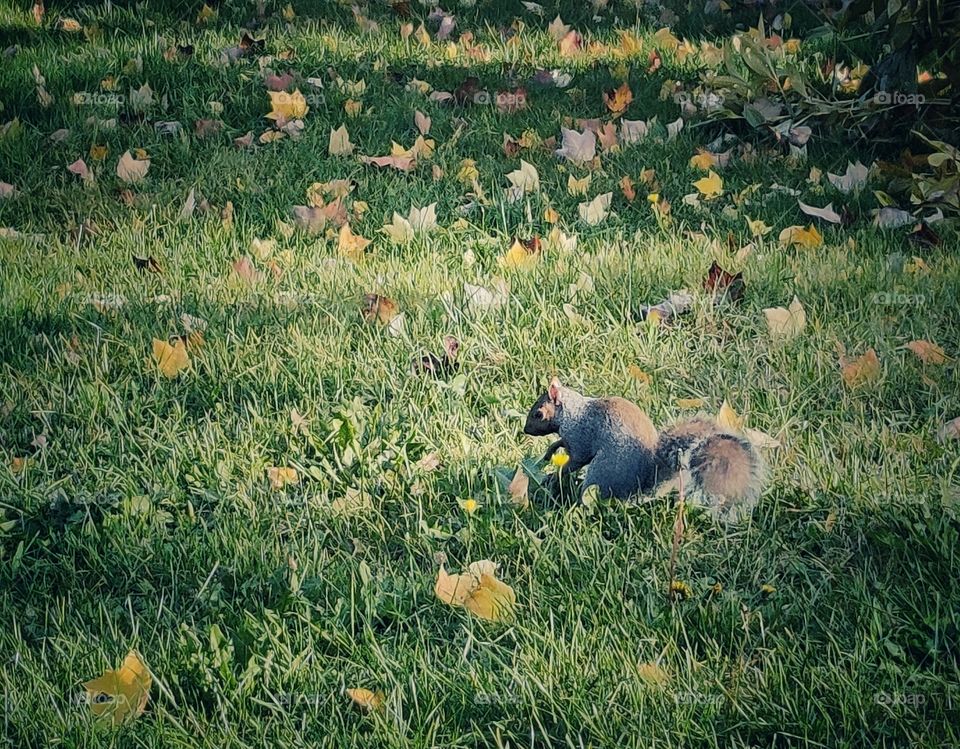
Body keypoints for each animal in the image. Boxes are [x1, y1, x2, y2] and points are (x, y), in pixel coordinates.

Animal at [523, 377, 764, 522]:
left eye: (538, 414)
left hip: (600, 473)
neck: (574, 412)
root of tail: (635, 493)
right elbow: (560, 445)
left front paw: (553, 476)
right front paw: (548, 454)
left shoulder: (581, 436)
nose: (525, 430)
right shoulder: (570, 438)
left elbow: (577, 460)